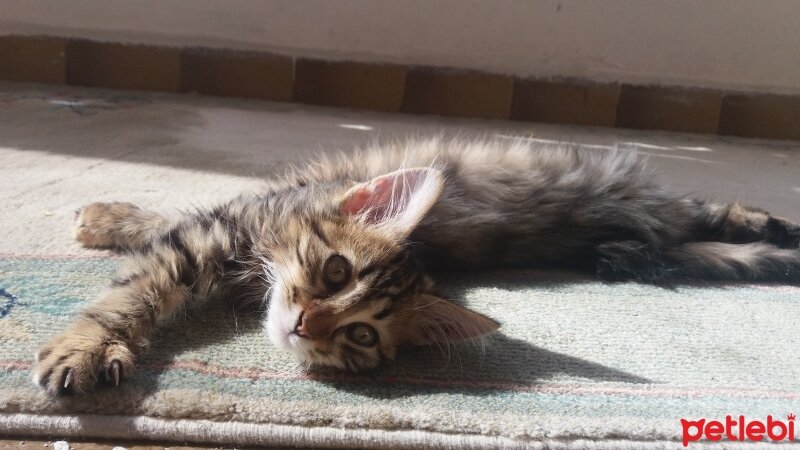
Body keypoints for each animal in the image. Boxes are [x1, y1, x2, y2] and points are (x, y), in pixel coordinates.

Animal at [32, 137, 800, 394]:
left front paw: (89, 340)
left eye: (361, 334)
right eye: (336, 272)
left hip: (664, 213)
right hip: (666, 225)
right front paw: (105, 224)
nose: (305, 325)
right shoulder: (219, 228)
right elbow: (144, 260)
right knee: (717, 228)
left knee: (721, 217)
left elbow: (134, 277)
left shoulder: (213, 236)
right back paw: (779, 229)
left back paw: (776, 226)